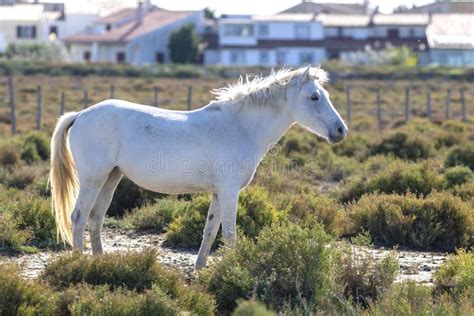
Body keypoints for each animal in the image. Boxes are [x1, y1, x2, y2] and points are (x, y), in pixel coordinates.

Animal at [50, 65, 348, 270]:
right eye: (314, 97)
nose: (340, 130)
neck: (240, 127)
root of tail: (80, 115)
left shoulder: (218, 193)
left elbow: (210, 230)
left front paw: (200, 267)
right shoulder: (229, 192)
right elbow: (229, 233)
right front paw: (234, 267)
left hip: (111, 178)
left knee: (95, 219)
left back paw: (102, 263)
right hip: (93, 179)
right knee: (78, 217)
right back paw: (78, 264)